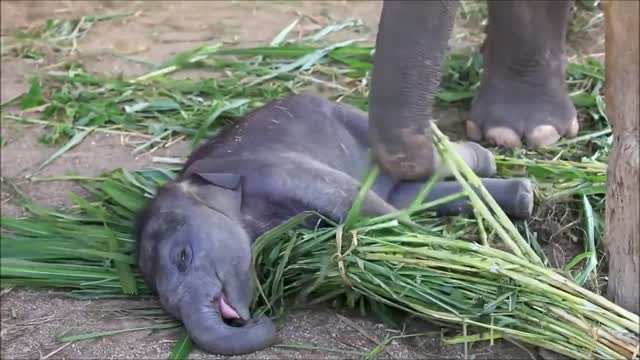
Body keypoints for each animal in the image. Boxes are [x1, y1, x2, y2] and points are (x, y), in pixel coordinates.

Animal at [135, 94, 536, 356]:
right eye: (163, 302)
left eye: (183, 257)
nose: (257, 320)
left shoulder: (276, 169)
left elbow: (358, 204)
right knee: (412, 192)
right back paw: (523, 195)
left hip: (362, 126)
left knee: (433, 163)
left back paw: (491, 165)